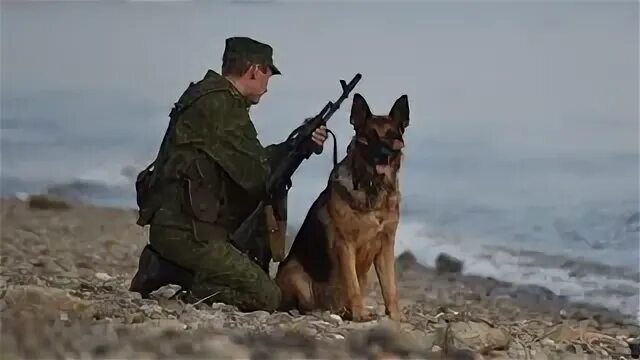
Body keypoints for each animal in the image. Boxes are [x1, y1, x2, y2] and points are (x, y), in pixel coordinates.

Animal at [276, 92, 410, 320]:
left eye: (392, 135)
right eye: (370, 135)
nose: (384, 154)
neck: (372, 188)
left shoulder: (385, 246)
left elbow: (390, 287)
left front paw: (395, 317)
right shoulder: (345, 245)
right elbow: (352, 284)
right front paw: (359, 314)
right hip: (294, 272)